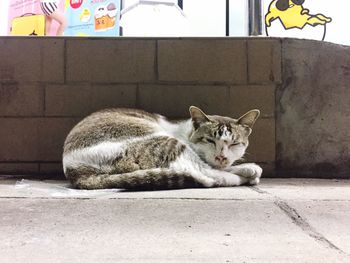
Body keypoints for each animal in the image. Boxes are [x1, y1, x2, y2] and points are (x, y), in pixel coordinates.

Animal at [62, 106, 262, 191]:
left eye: (234, 143)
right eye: (210, 141)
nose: (222, 157)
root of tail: (75, 170)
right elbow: (212, 168)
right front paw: (248, 169)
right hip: (160, 140)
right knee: (204, 175)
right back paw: (246, 176)